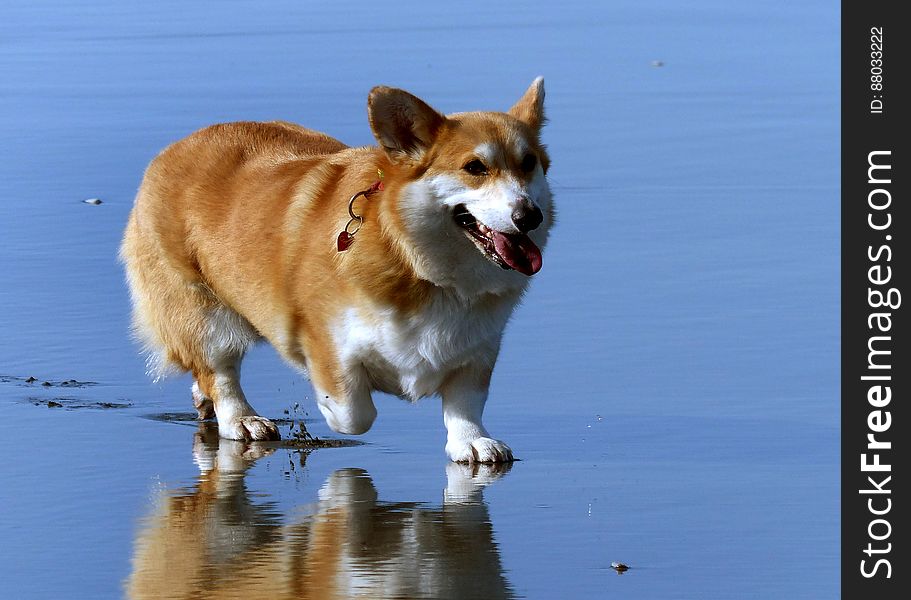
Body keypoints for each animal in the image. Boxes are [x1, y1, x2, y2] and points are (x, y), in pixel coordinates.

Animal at [117, 78, 552, 464]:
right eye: (475, 167)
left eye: (529, 164)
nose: (530, 216)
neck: (419, 262)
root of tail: (176, 147)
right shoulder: (326, 342)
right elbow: (353, 413)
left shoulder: (477, 351)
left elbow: (465, 405)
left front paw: (472, 443)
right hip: (205, 316)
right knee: (219, 373)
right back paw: (242, 419)